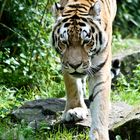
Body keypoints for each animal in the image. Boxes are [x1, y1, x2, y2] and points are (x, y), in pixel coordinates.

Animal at [52, 0, 116, 139]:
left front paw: (100, 135)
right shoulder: (64, 62)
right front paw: (74, 109)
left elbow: (100, 102)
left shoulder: (100, 70)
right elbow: (72, 86)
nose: (75, 65)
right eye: (64, 42)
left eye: (86, 41)